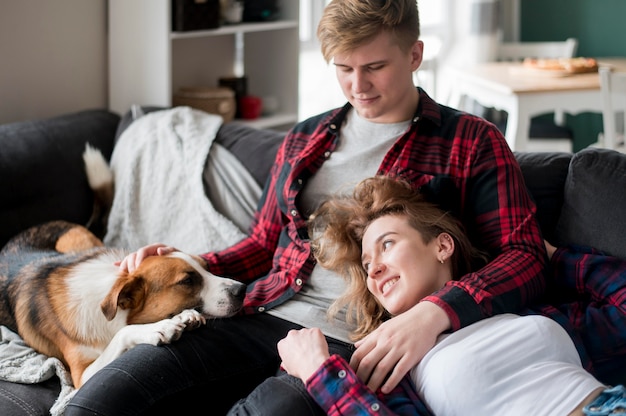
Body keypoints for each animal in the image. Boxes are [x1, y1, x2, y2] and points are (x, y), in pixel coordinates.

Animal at [0, 145, 246, 388]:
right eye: (187, 280)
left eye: (207, 266)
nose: (242, 290)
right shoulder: (81, 376)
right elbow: (124, 332)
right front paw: (159, 327)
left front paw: (182, 317)